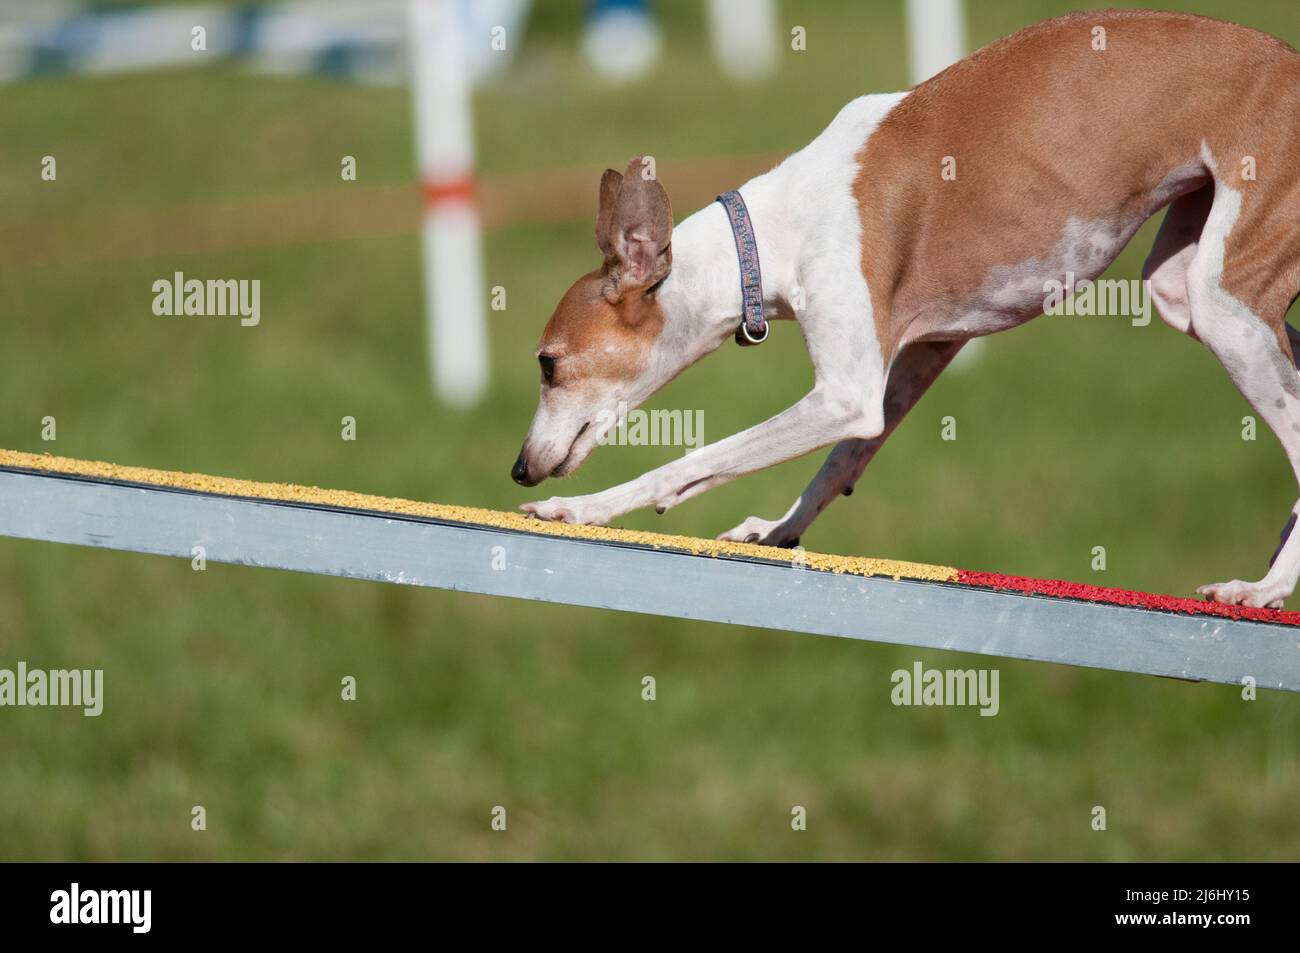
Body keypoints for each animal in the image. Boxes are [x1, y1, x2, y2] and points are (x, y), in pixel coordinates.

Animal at [509, 9, 1300, 608]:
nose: (519, 468)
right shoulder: (915, 357)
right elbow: (841, 461)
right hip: (1188, 286)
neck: (768, 233)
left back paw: (1263, 590)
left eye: (548, 364)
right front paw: (779, 527)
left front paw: (579, 508)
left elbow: (698, 457)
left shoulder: (845, 392)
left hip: (1226, 302)